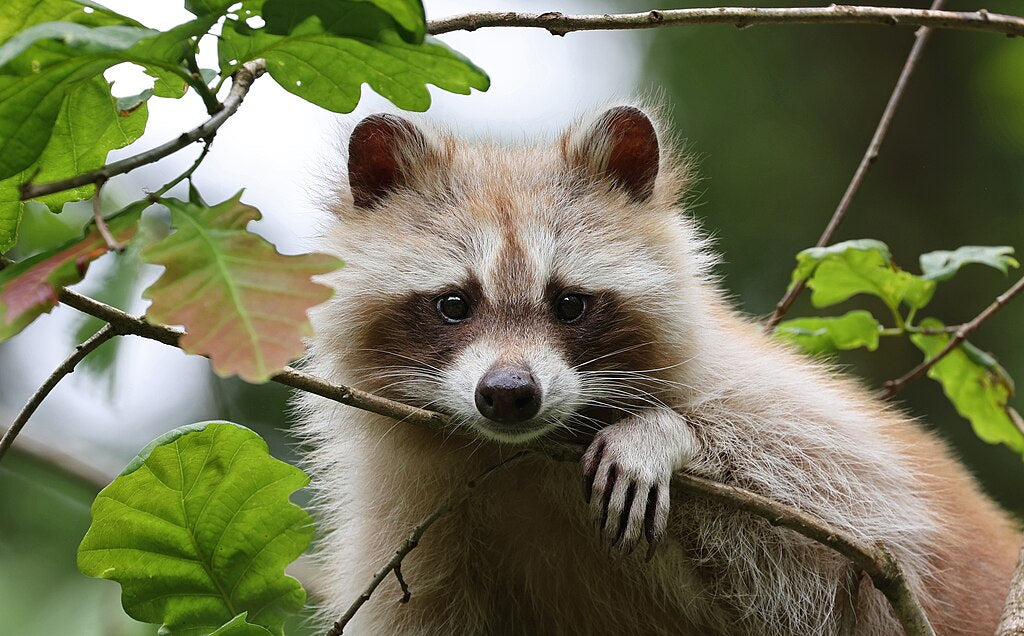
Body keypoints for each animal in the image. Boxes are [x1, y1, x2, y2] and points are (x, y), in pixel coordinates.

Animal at [294, 105, 1020, 635]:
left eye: (568, 303)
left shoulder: (793, 425)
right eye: (453, 304)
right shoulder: (411, 530)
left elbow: (849, 553)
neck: (518, 458)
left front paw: (664, 434)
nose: (509, 394)